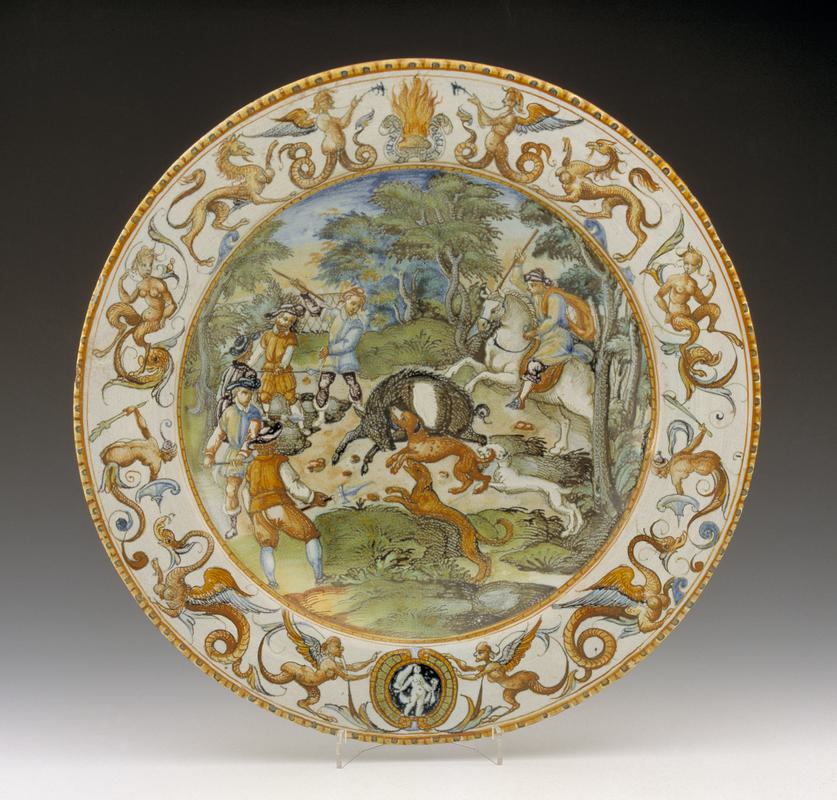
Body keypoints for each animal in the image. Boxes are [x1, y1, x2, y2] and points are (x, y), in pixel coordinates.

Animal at [445, 291, 594, 453]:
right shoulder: (488, 368)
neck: (511, 344)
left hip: (576, 402)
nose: (481, 325)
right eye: (484, 306)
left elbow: (483, 375)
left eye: (495, 309)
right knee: (566, 421)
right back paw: (558, 448)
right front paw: (449, 372)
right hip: (549, 405)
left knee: (592, 415)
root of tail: (587, 371)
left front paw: (469, 386)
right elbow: (468, 362)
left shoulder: (512, 379)